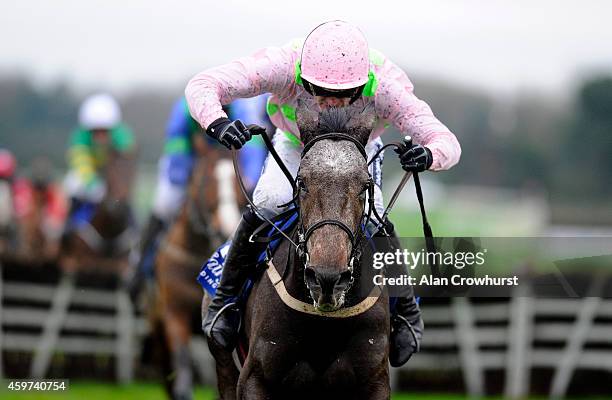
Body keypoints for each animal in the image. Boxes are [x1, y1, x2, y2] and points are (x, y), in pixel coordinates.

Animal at [208, 104, 390, 400]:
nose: (327, 279)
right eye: (302, 182)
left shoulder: (375, 382)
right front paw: (228, 129)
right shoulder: (254, 379)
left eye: (365, 185)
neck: (324, 325)